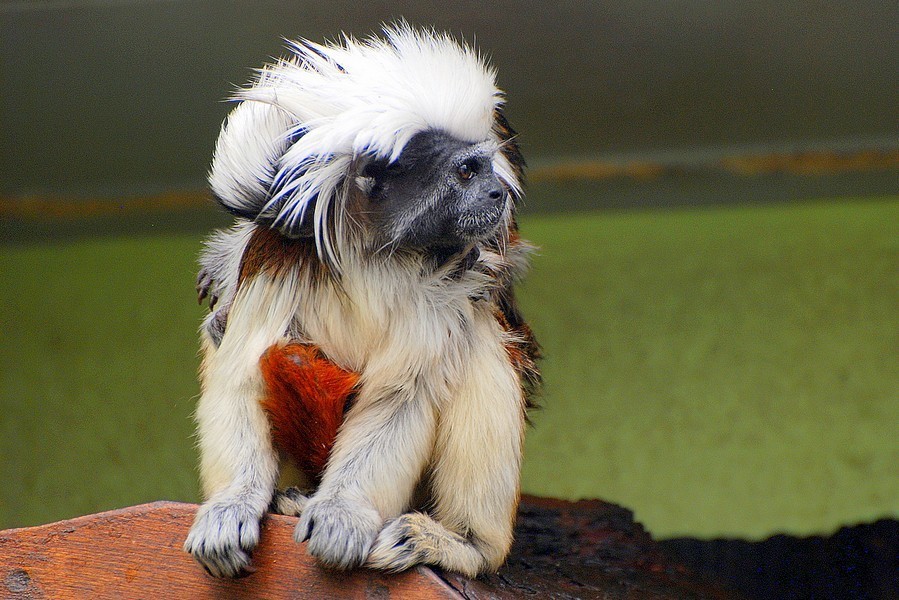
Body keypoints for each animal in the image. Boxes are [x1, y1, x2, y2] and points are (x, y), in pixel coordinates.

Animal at [179, 25, 536, 580]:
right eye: (465, 173)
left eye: (481, 170)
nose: (498, 192)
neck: (372, 252)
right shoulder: (278, 255)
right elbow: (240, 377)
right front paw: (230, 506)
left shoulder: (448, 282)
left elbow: (401, 396)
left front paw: (343, 514)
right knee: (281, 357)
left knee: (480, 341)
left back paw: (464, 543)